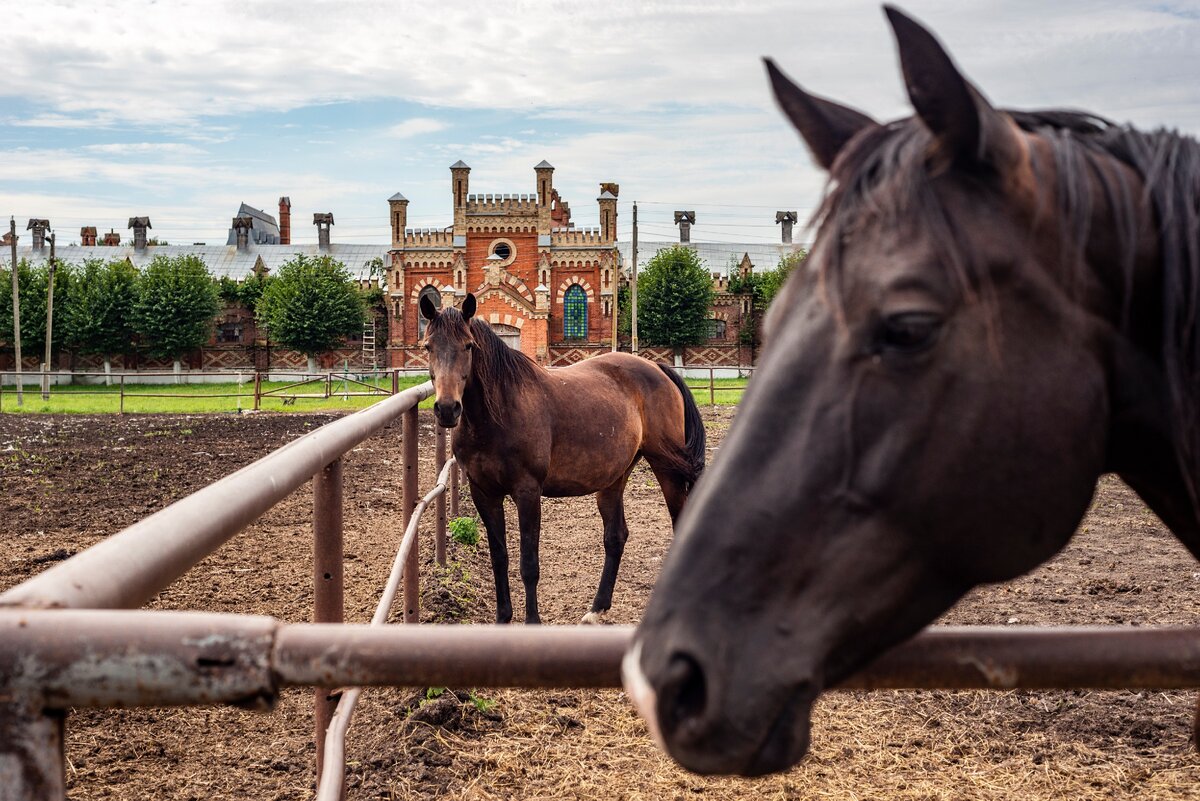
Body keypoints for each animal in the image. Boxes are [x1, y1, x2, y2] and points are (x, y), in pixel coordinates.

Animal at [420, 293, 700, 623]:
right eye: (428, 346)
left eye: (468, 346)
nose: (447, 409)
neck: (498, 411)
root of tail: (658, 368)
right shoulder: (483, 493)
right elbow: (499, 558)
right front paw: (503, 618)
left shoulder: (527, 492)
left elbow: (529, 565)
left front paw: (532, 622)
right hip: (614, 479)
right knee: (615, 536)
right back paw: (596, 608)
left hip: (667, 470)